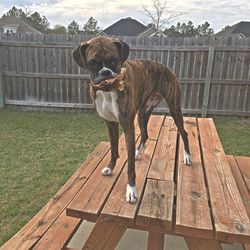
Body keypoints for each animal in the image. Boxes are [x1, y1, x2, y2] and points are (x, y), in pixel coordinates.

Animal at [72, 37, 191, 205]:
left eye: (114, 60)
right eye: (93, 63)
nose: (106, 72)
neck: (108, 90)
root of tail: (166, 67)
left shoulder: (127, 125)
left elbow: (130, 168)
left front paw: (131, 190)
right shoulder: (111, 124)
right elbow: (114, 149)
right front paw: (110, 167)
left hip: (174, 108)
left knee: (184, 132)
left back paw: (187, 156)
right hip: (142, 113)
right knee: (145, 134)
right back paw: (136, 152)